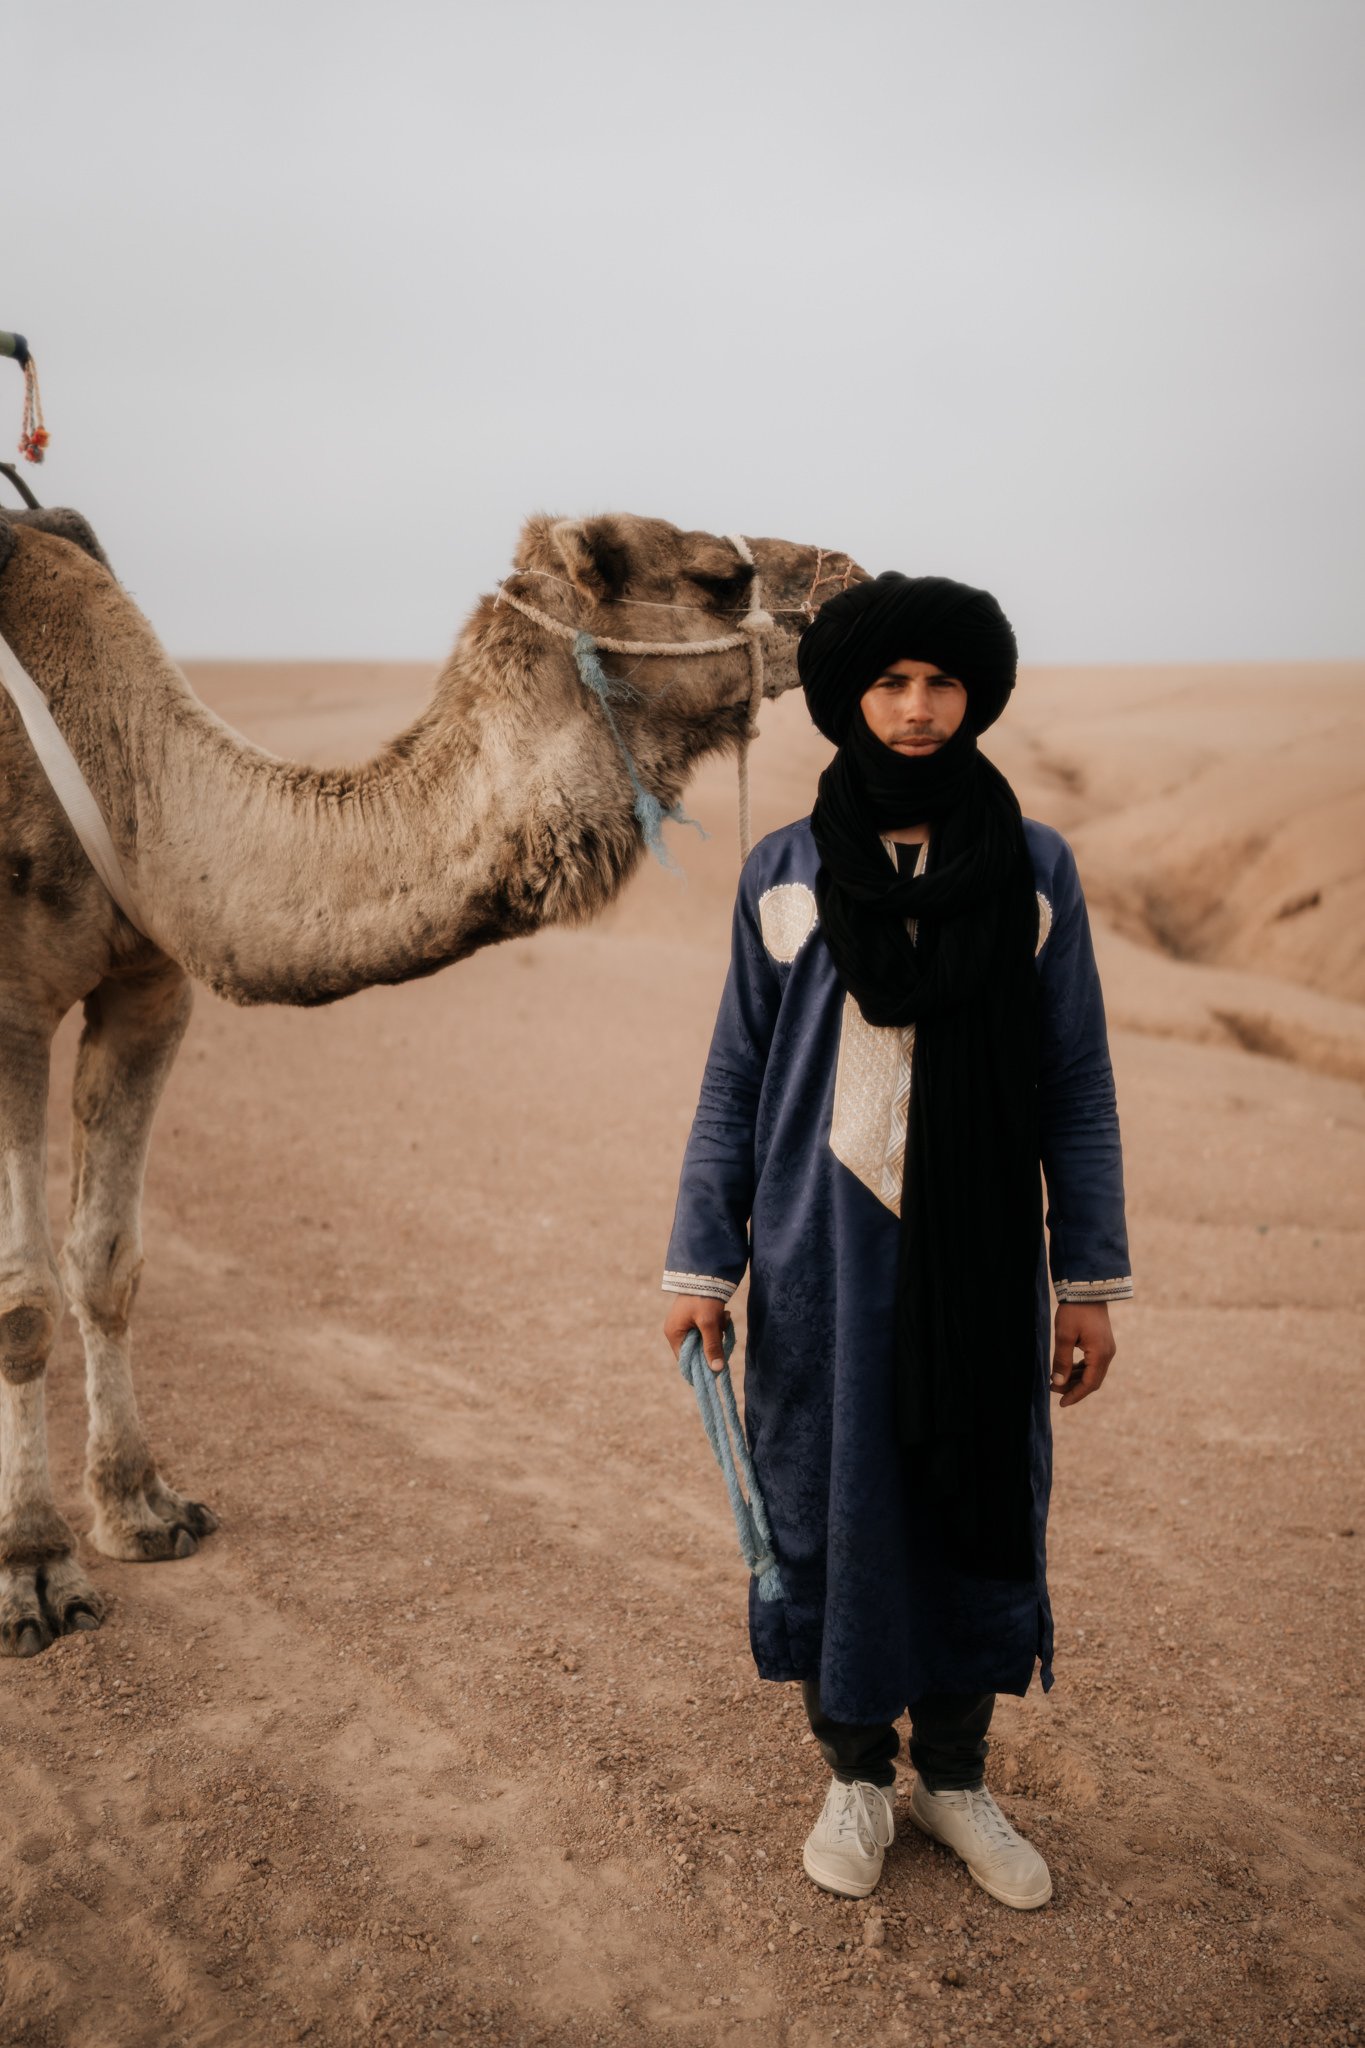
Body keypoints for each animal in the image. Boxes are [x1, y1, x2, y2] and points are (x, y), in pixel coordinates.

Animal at [0, 503, 863, 1654]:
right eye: (719, 578)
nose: (855, 576)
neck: (122, 767)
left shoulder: (150, 985)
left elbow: (106, 1261)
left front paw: (140, 1508)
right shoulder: (8, 1004)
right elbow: (21, 1299)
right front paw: (34, 1568)